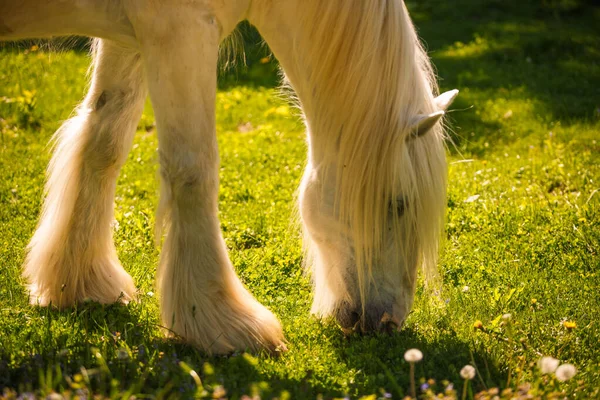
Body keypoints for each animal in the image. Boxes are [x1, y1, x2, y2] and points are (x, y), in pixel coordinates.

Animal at [1, 1, 460, 354]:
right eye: (397, 204)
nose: (388, 322)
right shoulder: (181, 32)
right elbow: (192, 171)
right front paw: (222, 323)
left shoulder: (129, 37)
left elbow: (104, 143)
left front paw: (78, 282)